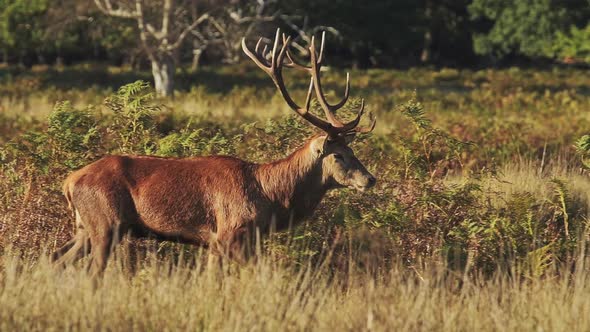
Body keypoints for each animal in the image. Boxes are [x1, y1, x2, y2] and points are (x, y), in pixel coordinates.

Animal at [53, 29, 380, 278]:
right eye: (338, 155)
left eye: (352, 149)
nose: (370, 179)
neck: (271, 196)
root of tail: (69, 182)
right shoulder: (230, 234)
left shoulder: (216, 243)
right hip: (106, 222)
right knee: (91, 272)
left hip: (85, 226)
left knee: (56, 257)